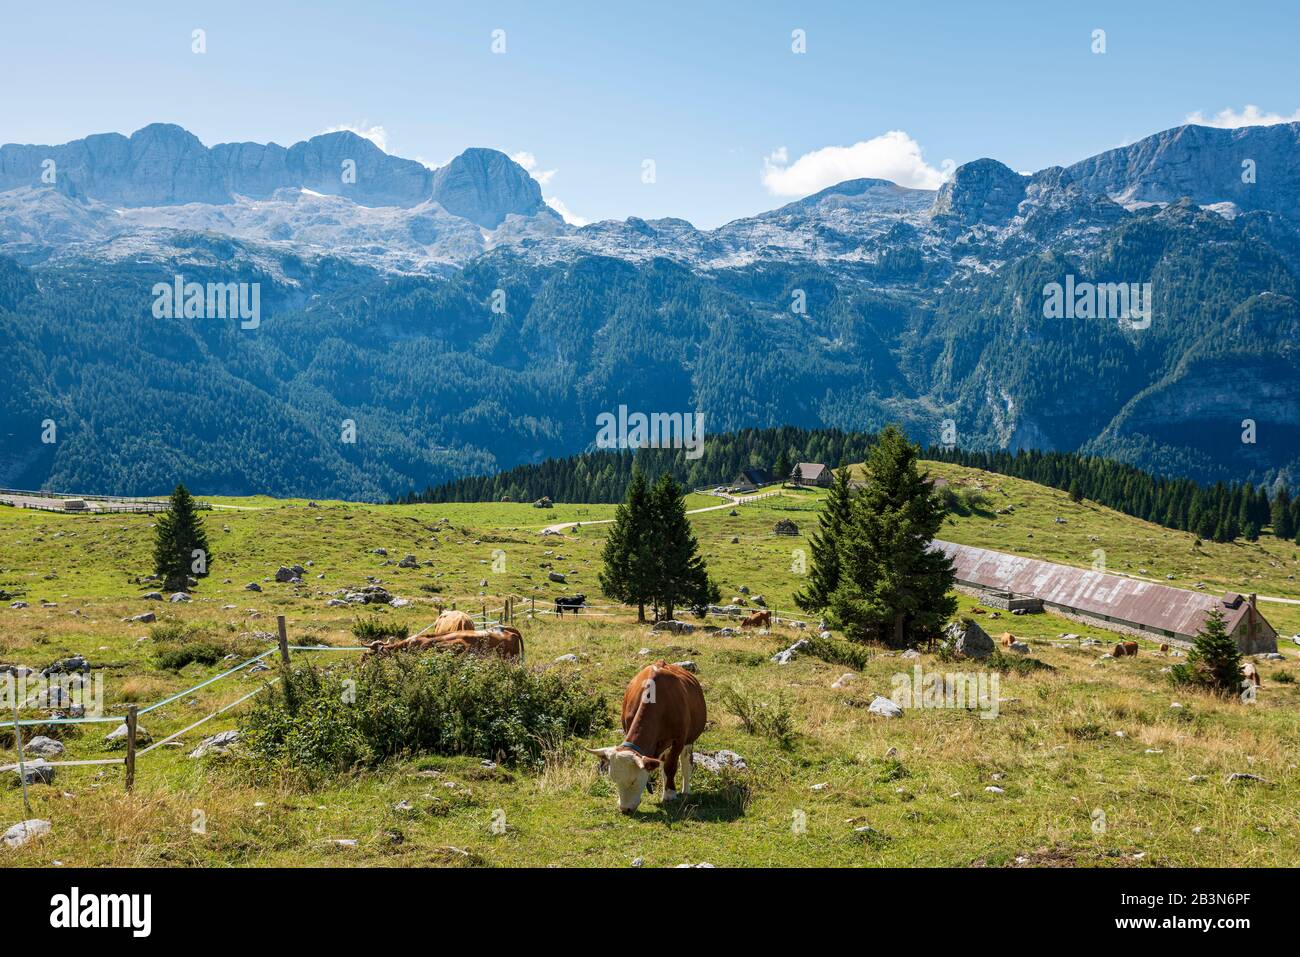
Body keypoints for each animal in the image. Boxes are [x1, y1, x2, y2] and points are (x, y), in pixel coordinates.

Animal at [590, 665, 707, 816]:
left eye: (633, 781)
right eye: (614, 780)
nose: (624, 809)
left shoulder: (679, 740)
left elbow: (671, 766)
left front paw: (670, 794)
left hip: (688, 740)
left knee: (686, 761)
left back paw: (685, 790)